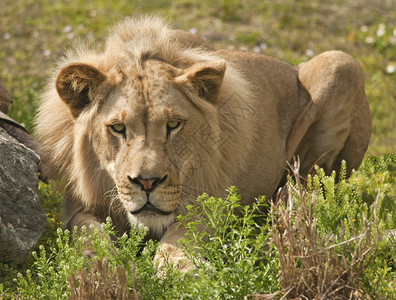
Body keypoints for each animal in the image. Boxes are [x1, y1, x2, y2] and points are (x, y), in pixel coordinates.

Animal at [34, 15, 372, 268]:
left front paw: (178, 267)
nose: (146, 182)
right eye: (118, 128)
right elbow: (87, 233)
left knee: (312, 184)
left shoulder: (211, 201)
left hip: (342, 63)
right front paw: (98, 264)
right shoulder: (77, 206)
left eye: (173, 125)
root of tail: (288, 64)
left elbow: (182, 234)